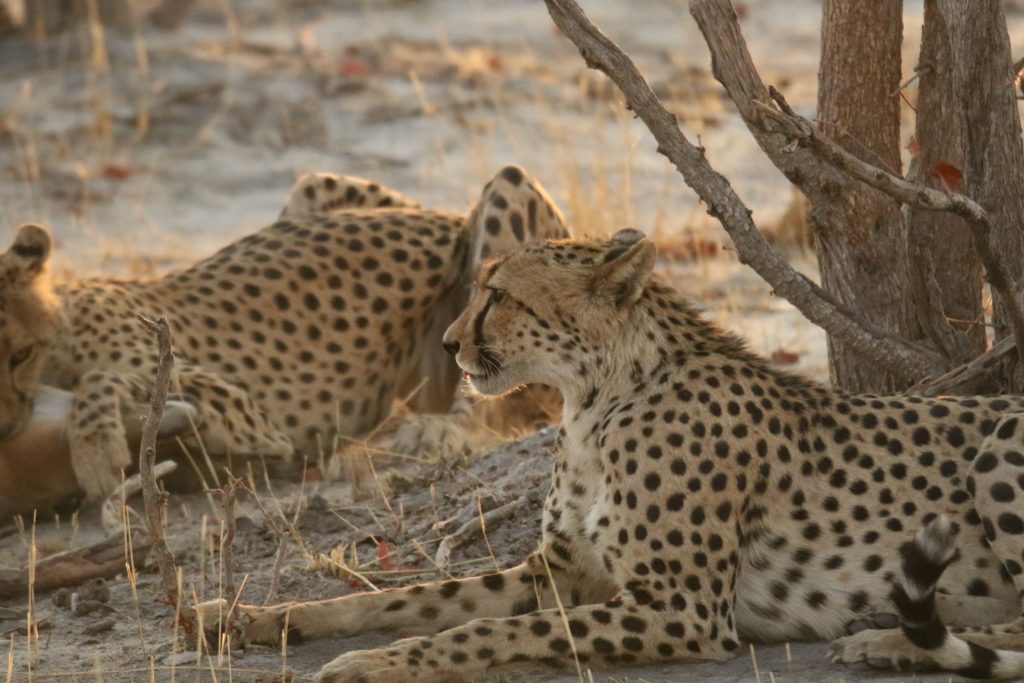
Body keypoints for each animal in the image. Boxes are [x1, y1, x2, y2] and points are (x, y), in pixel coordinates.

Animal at [0, 165, 565, 501]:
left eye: (19, 355)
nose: (5, 427)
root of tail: (445, 214)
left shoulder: (248, 412)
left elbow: (101, 375)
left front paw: (95, 450)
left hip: (508, 200)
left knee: (498, 405)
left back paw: (433, 433)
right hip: (313, 185)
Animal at [195, 228, 1024, 679]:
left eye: (498, 295)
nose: (451, 344)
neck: (595, 401)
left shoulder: (684, 610)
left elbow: (482, 631)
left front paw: (379, 662)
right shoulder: (558, 572)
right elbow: (396, 596)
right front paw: (251, 617)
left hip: (998, 451)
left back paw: (893, 635)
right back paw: (902, 619)